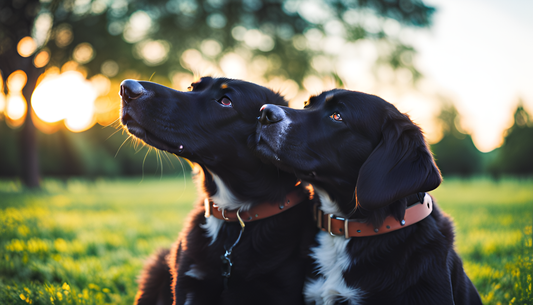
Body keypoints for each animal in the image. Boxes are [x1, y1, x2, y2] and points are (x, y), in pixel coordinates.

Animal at [119, 77, 316, 302]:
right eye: (191, 87)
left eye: (226, 101)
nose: (127, 87)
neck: (233, 219)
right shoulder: (188, 284)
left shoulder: (281, 289)